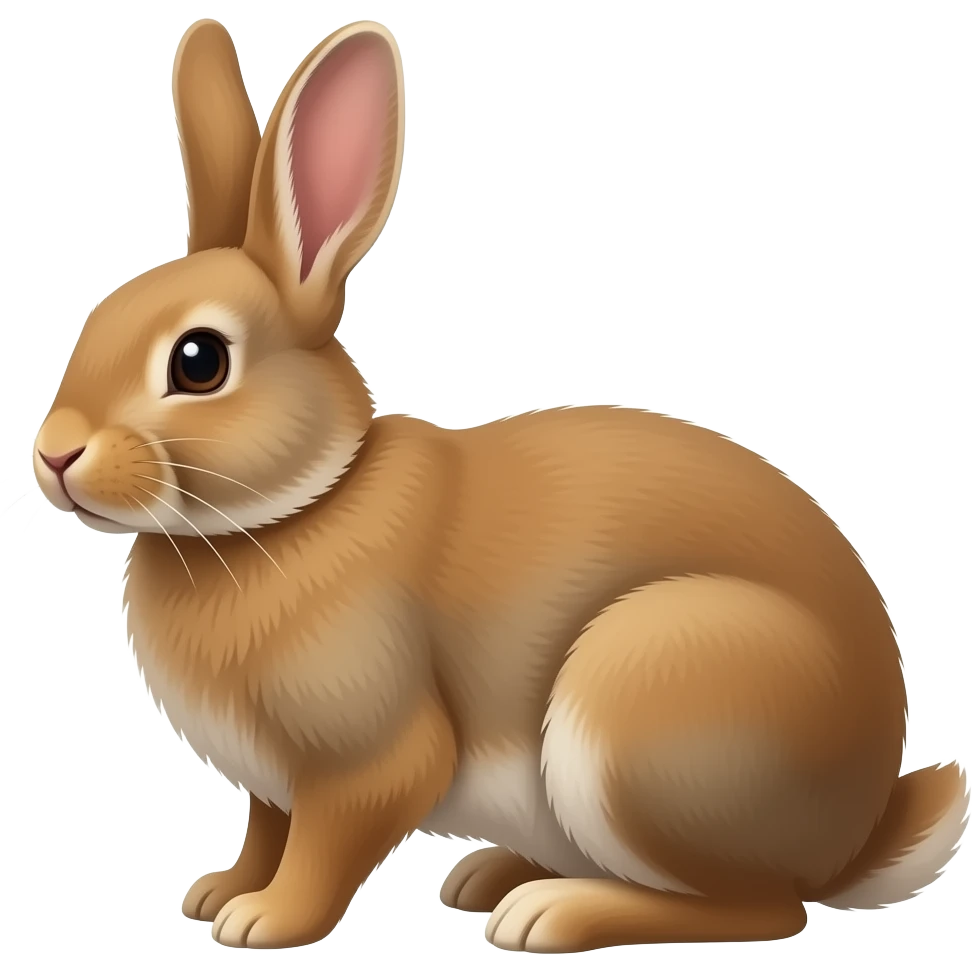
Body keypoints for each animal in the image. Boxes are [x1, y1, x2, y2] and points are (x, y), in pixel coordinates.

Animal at [31, 17, 968, 954]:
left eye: (199, 362)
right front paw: (218, 892)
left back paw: (550, 912)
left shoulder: (364, 759)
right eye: (97, 318)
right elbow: (267, 830)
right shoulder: (272, 785)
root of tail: (860, 828)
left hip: (643, 706)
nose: (55, 455)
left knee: (764, 908)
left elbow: (326, 846)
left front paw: (264, 921)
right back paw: (493, 877)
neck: (297, 508)